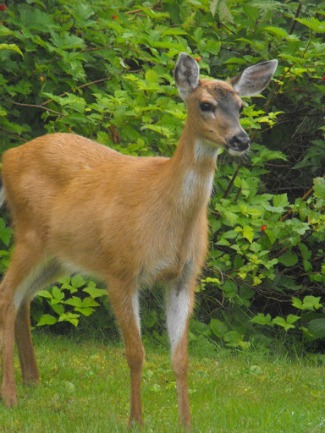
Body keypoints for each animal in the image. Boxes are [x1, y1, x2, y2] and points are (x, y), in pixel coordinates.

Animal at [0, 52, 276, 426]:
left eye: (241, 106)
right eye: (205, 104)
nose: (240, 139)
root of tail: (8, 157)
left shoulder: (184, 277)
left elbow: (181, 358)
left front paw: (186, 423)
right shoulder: (120, 269)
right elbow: (135, 352)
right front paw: (135, 421)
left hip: (60, 257)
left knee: (23, 298)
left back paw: (32, 381)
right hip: (29, 235)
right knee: (6, 292)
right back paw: (11, 396)